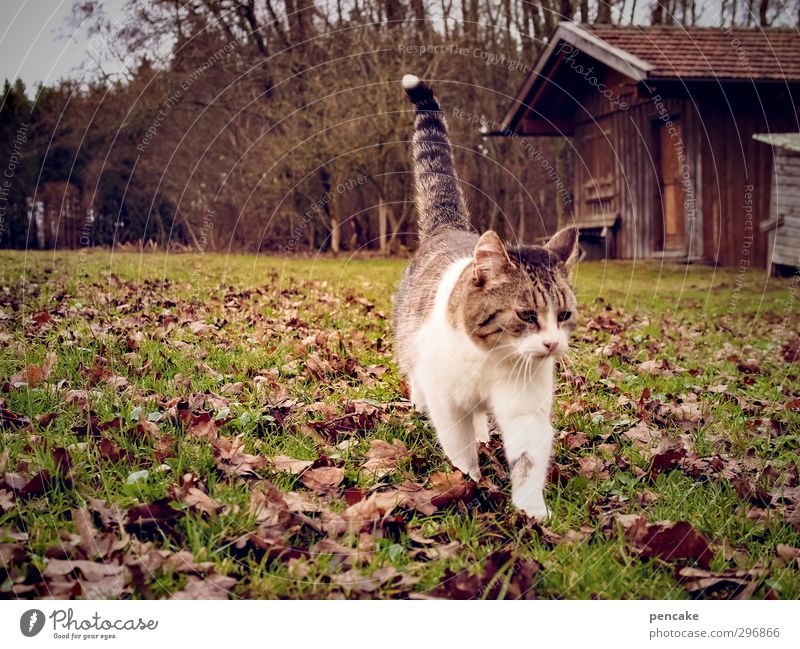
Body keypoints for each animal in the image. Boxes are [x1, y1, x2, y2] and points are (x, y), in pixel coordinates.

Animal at [390, 73, 580, 520]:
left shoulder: (525, 406)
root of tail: (449, 227)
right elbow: (458, 449)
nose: (552, 344)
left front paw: (531, 511)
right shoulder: (447, 402)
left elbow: (528, 457)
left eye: (563, 315)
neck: (493, 359)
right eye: (527, 315)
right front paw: (468, 483)